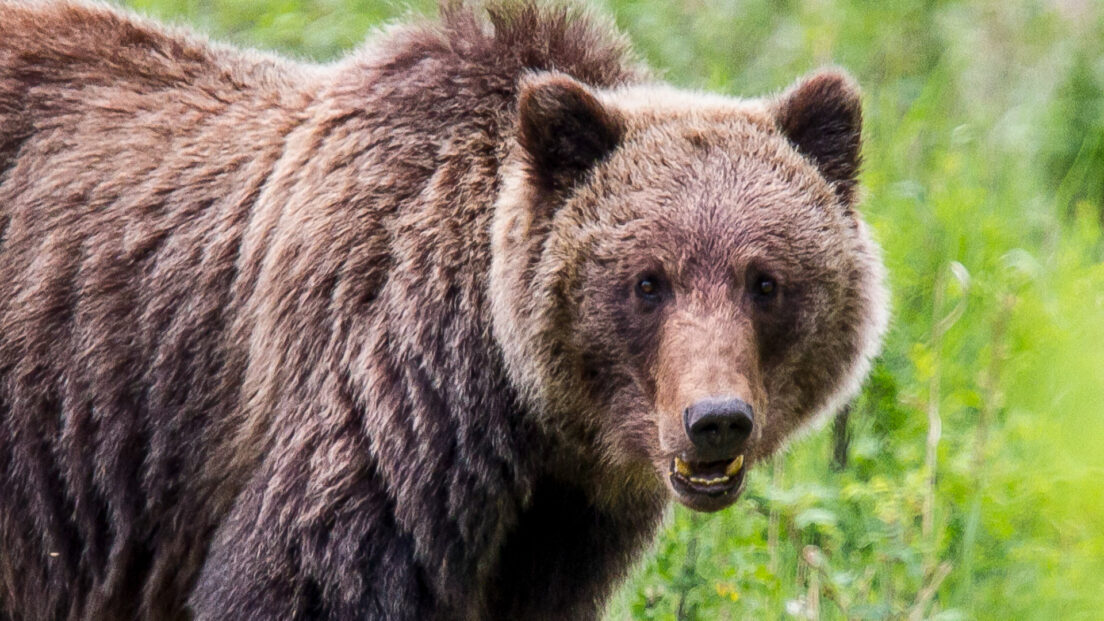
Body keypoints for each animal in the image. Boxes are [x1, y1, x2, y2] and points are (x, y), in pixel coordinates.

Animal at [0, 1, 889, 619]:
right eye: (647, 281)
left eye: (765, 279)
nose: (716, 418)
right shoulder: (380, 412)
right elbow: (303, 581)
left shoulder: (560, 525)